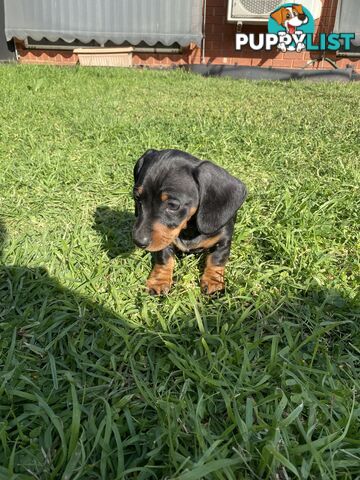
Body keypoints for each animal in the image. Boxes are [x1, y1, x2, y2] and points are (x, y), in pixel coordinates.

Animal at [133, 148, 248, 294]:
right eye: (137, 197)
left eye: (173, 205)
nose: (138, 241)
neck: (188, 229)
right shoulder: (165, 238)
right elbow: (164, 258)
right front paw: (159, 281)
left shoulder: (223, 240)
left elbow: (216, 260)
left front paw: (213, 282)